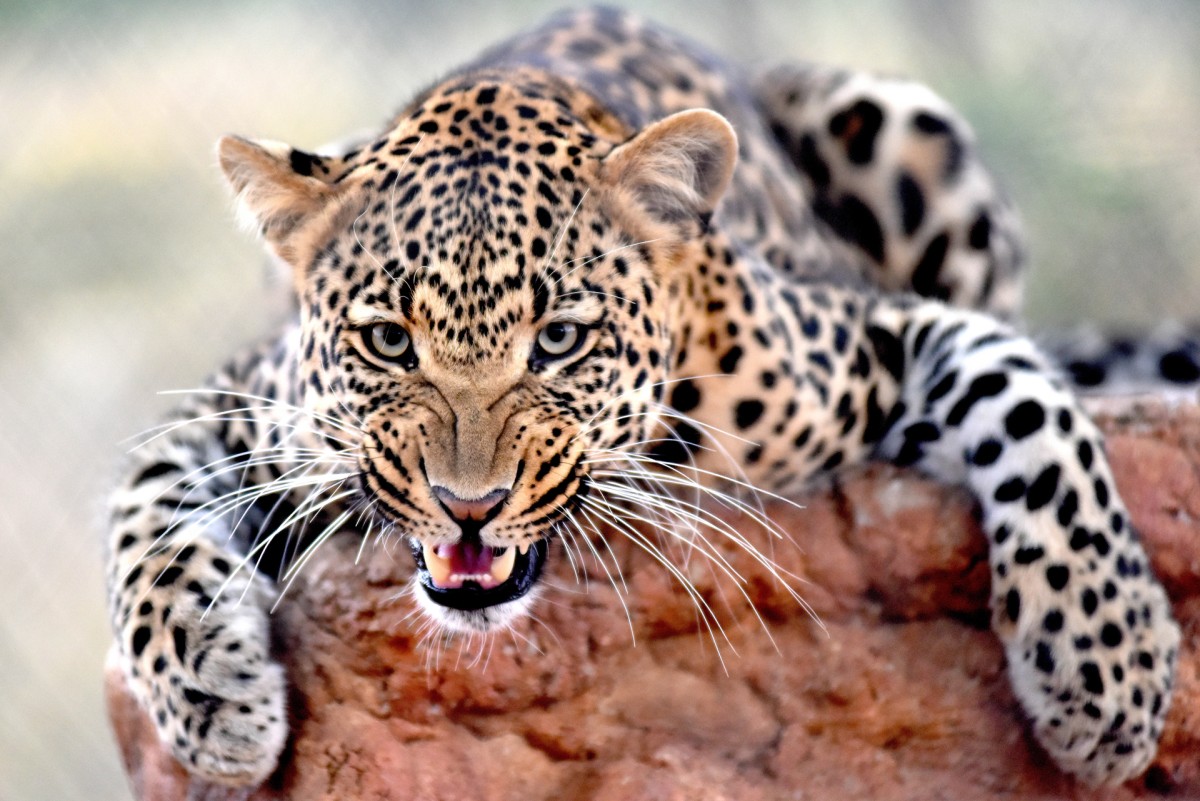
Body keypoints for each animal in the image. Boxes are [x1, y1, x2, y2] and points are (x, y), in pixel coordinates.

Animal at [108, 4, 1185, 786]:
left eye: (559, 339)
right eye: (387, 341)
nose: (468, 506)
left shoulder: (869, 331)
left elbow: (1028, 404)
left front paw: (1109, 668)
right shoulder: (240, 400)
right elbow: (143, 515)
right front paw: (213, 699)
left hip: (902, 123)